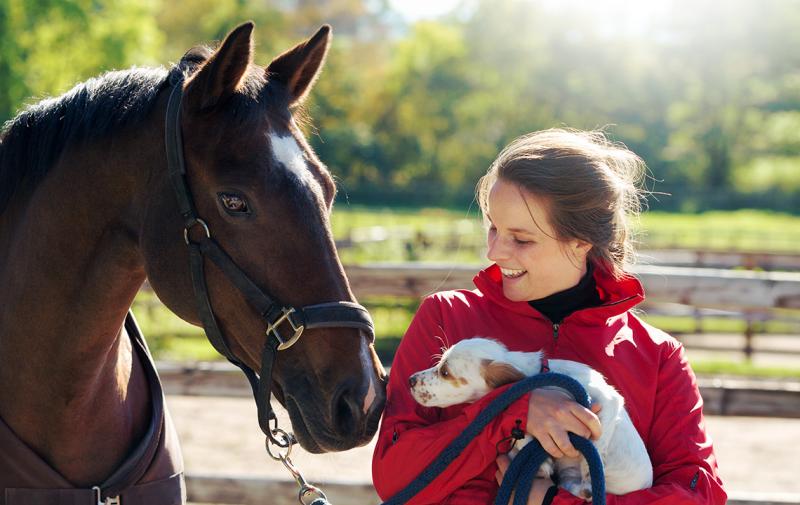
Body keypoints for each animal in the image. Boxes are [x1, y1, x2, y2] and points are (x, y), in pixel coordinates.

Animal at [410, 336, 652, 498]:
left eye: (445, 372)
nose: (410, 380)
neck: (543, 377)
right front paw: (537, 455)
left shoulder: (610, 400)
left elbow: (598, 442)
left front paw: (591, 477)